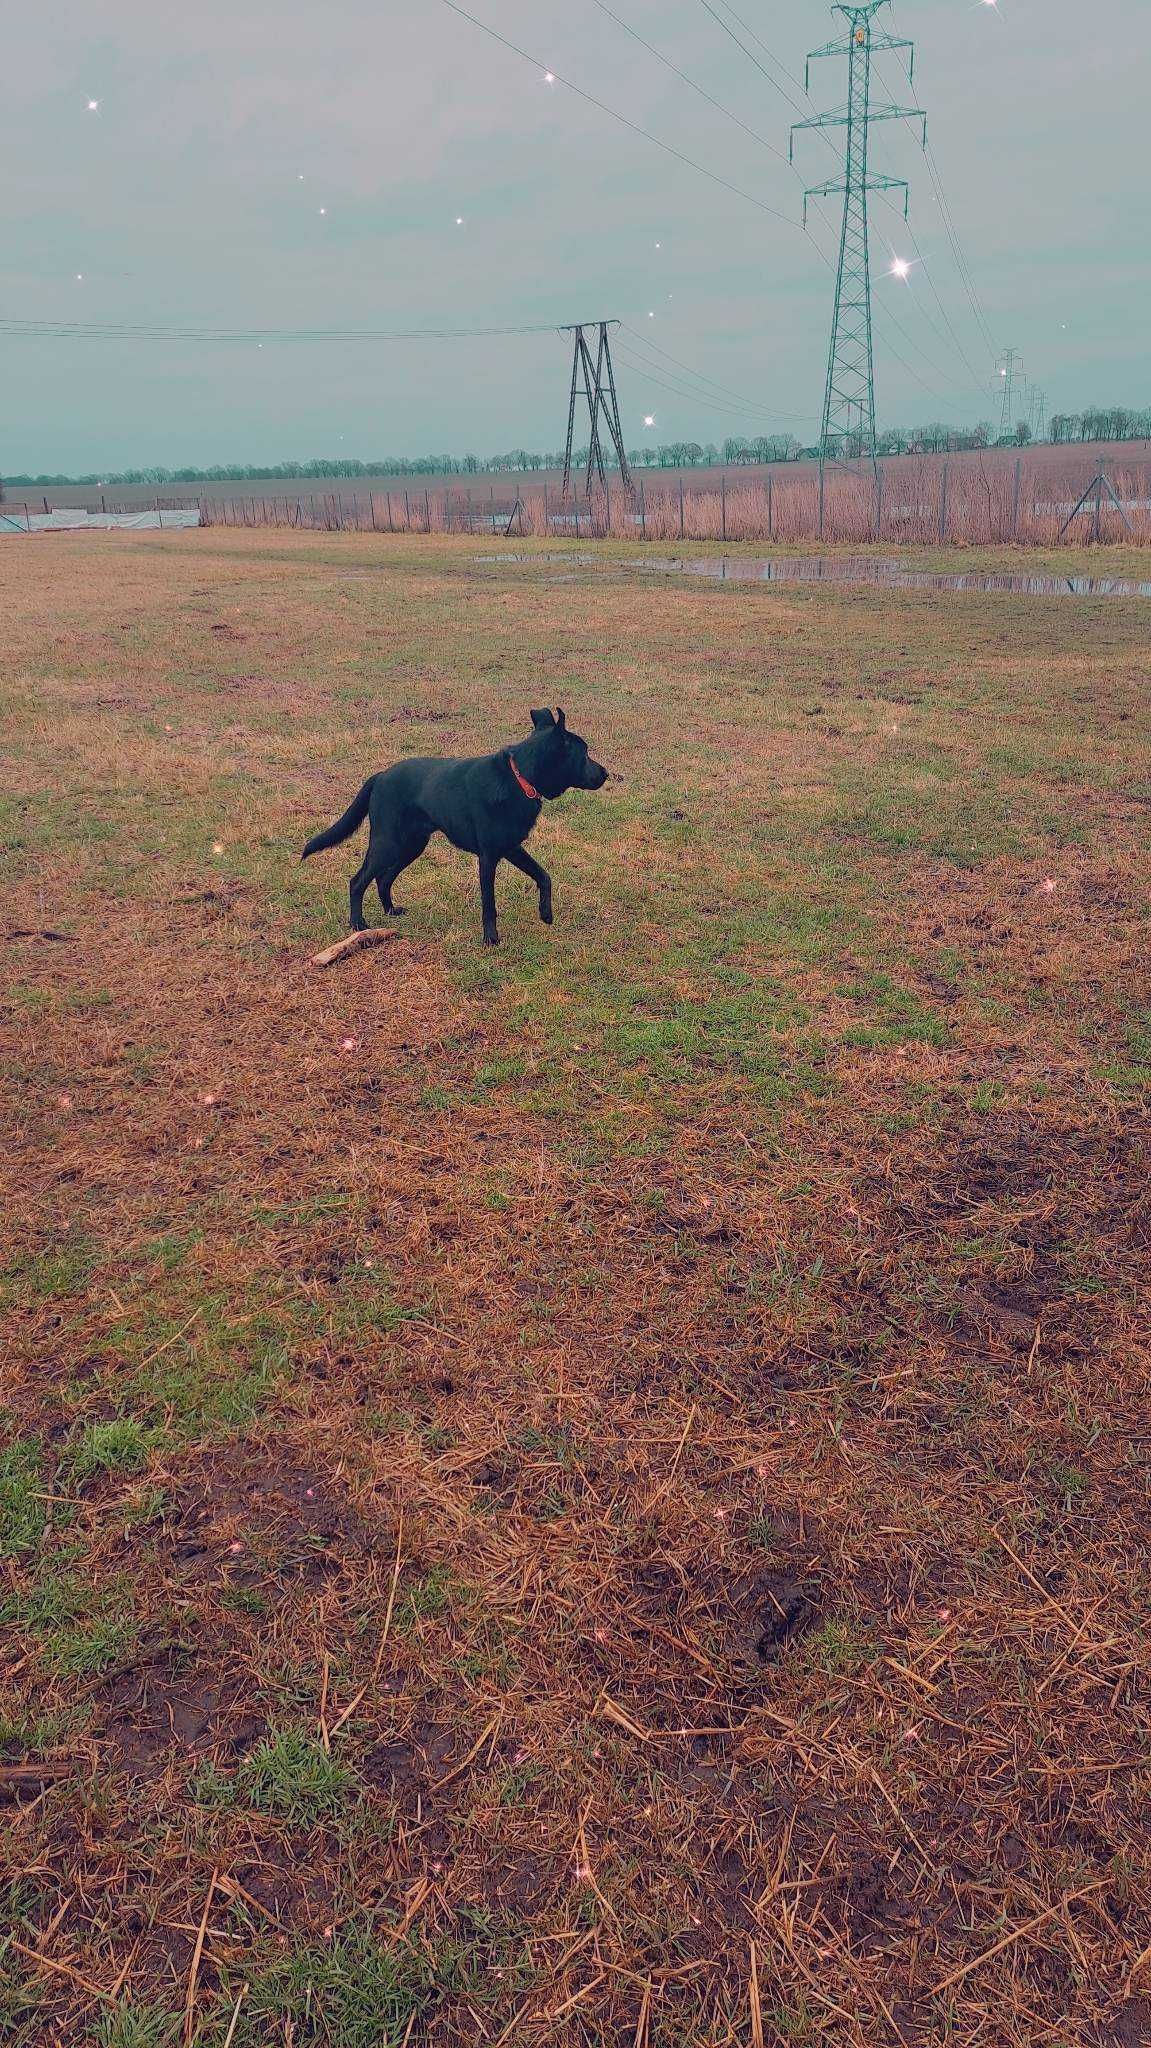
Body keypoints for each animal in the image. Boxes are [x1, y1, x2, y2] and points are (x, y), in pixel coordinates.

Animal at [303, 708, 610, 946]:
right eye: (584, 753)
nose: (606, 773)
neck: (520, 777)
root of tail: (380, 776)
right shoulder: (488, 857)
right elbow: (489, 904)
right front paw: (491, 939)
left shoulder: (511, 847)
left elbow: (544, 876)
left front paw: (545, 913)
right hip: (387, 843)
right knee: (358, 881)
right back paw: (358, 925)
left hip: (411, 845)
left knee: (384, 878)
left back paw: (390, 911)